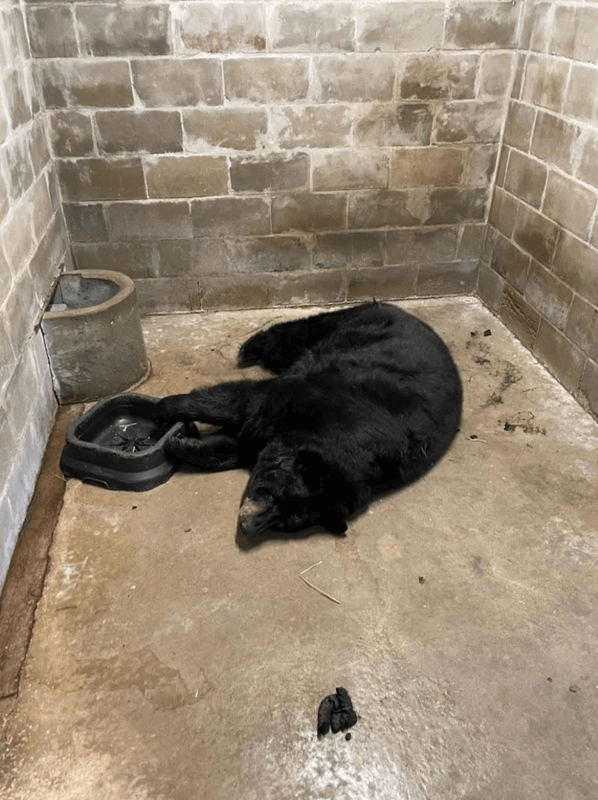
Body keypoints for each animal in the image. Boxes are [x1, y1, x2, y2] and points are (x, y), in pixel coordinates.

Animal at [156, 301, 462, 538]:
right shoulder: (304, 398)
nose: (248, 527)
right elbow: (238, 401)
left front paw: (182, 443)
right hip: (345, 323)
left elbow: (238, 445)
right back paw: (249, 348)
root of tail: (412, 315)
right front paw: (163, 411)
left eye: (286, 522)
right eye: (273, 495)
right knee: (293, 333)